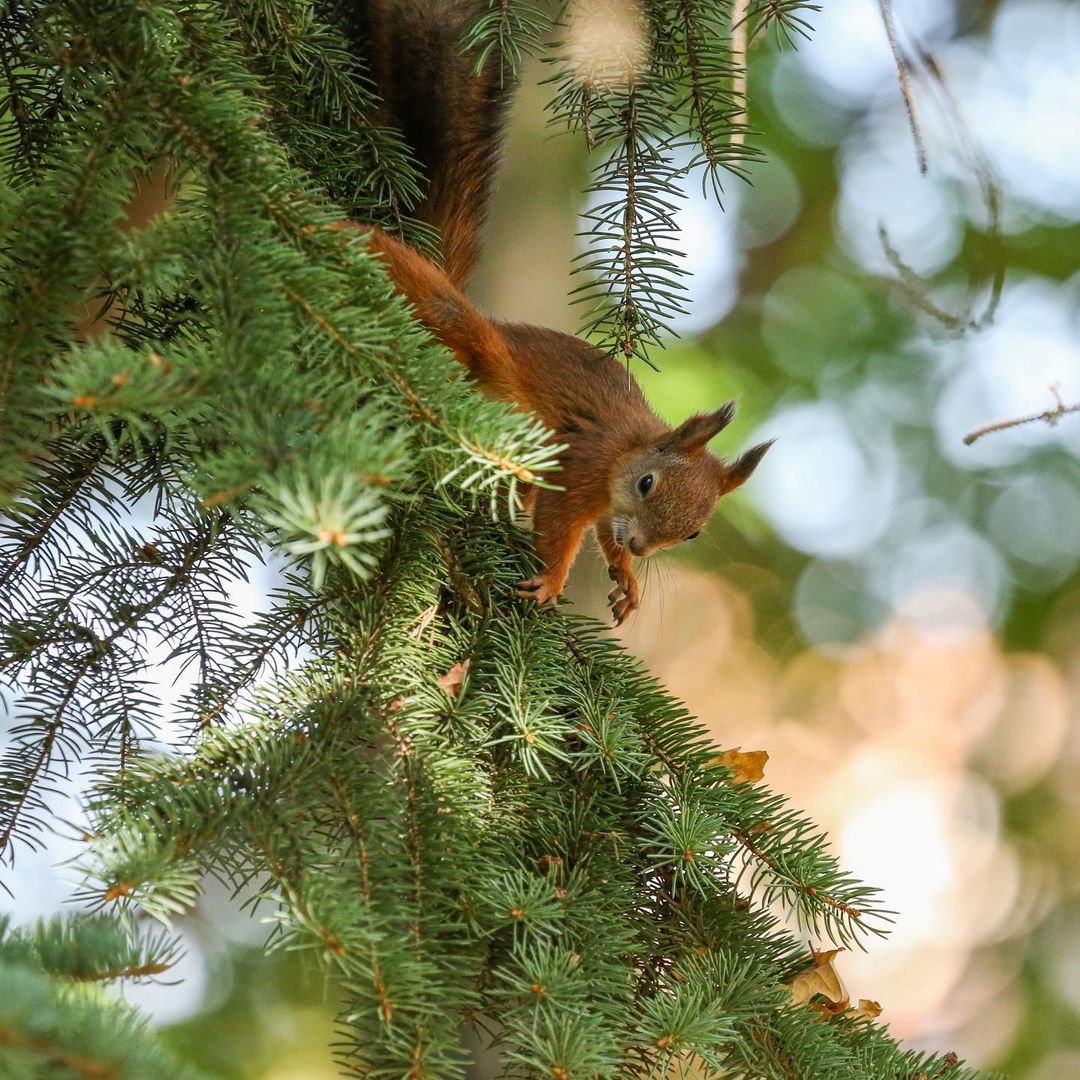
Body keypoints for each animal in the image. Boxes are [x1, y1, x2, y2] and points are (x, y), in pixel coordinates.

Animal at [332, 0, 772, 624]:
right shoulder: (581, 467)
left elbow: (605, 534)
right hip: (481, 356)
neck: (624, 453)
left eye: (693, 534)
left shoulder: (605, 505)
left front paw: (626, 576)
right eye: (646, 484)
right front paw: (550, 580)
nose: (645, 546)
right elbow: (559, 527)